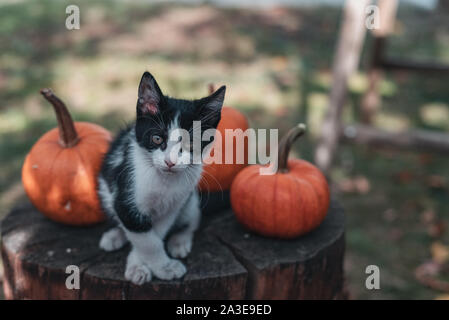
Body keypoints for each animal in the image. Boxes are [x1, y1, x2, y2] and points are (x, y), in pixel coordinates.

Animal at [97, 72, 224, 284]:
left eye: (190, 144)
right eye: (157, 139)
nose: (170, 162)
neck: (163, 181)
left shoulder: (172, 206)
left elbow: (155, 234)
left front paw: (146, 264)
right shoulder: (125, 197)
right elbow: (146, 238)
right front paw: (155, 267)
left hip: (189, 201)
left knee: (193, 219)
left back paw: (180, 240)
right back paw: (114, 236)